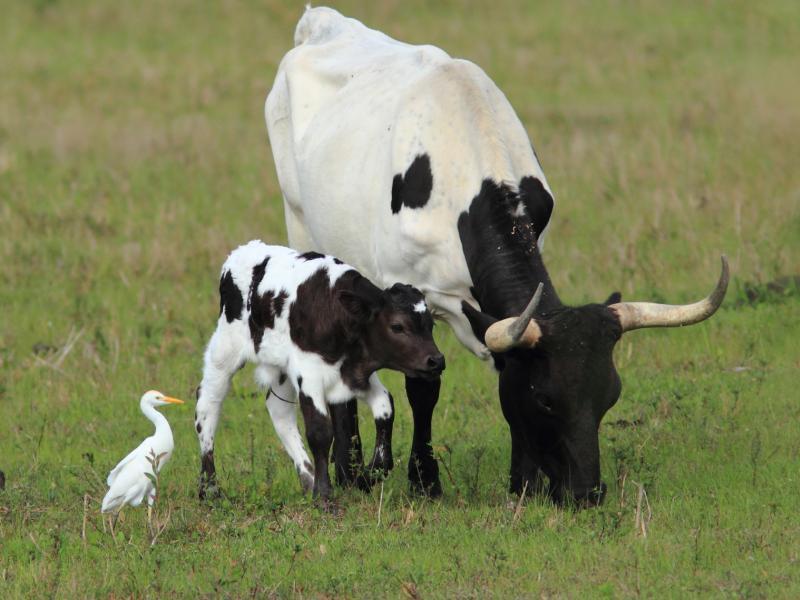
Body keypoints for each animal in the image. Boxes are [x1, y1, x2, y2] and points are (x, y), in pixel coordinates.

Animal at [195, 240, 444, 502]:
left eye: (431, 324)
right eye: (397, 326)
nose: (436, 361)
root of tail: (242, 251)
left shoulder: (356, 375)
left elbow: (386, 409)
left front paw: (367, 475)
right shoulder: (309, 373)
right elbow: (320, 431)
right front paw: (324, 495)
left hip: (281, 367)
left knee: (279, 410)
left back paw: (308, 479)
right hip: (225, 348)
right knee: (207, 404)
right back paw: (209, 488)